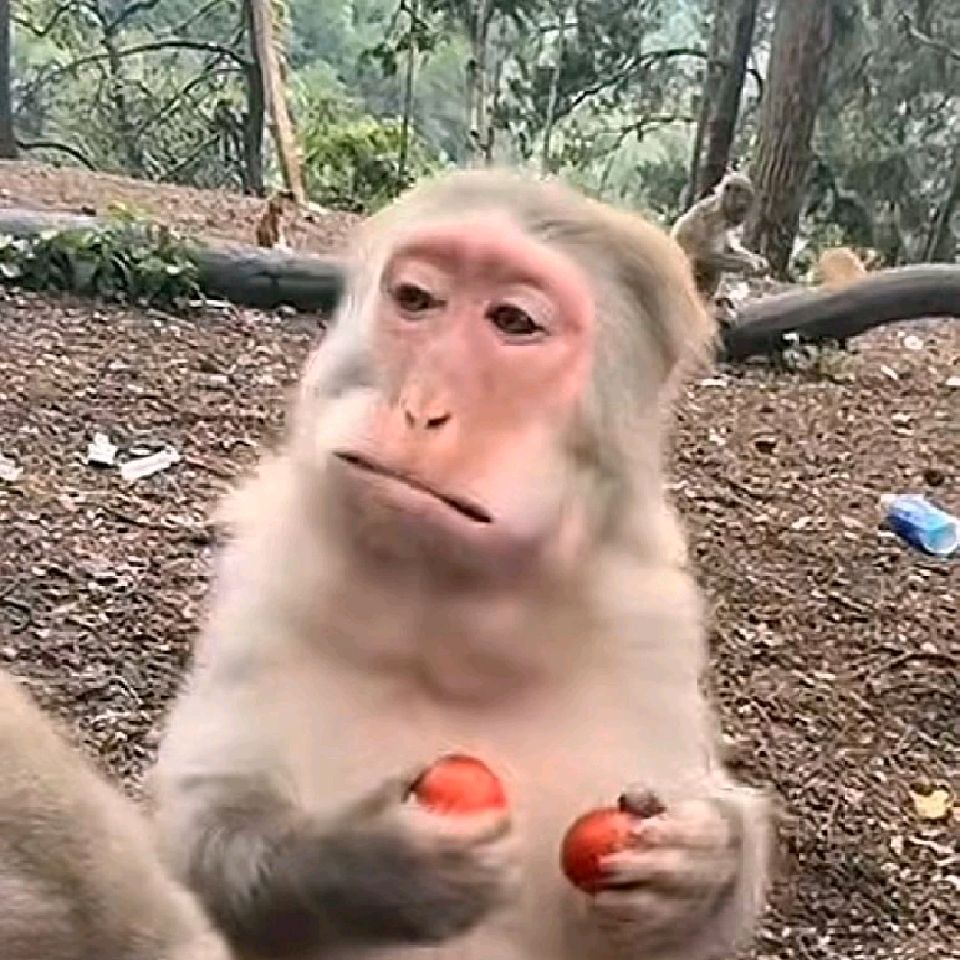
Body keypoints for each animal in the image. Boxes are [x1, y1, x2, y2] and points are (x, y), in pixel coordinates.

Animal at [671, 172, 769, 301]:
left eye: (745, 210)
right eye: (741, 209)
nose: (740, 220)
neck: (721, 208)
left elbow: (728, 247)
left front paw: (757, 259)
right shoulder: (713, 219)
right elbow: (703, 254)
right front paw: (748, 264)